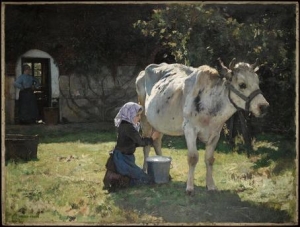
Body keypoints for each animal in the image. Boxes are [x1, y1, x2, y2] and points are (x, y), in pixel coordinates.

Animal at [136, 58, 270, 195]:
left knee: (156, 141)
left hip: (160, 123)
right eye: (242, 84)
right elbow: (193, 157)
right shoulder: (190, 130)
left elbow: (210, 159)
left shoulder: (216, 133)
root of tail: (144, 70)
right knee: (146, 146)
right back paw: (145, 170)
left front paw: (211, 185)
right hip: (145, 119)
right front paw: (190, 187)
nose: (264, 106)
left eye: (258, 82)